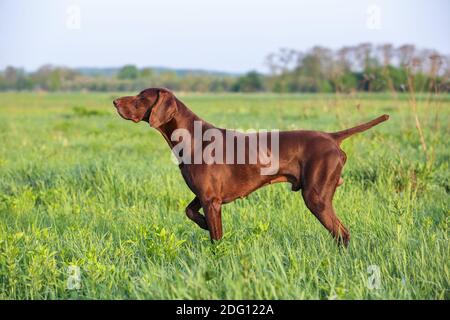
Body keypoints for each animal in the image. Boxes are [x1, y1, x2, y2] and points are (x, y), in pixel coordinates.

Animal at [111, 88, 386, 248]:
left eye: (141, 97)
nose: (114, 101)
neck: (192, 137)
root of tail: (331, 137)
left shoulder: (211, 200)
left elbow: (216, 238)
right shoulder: (204, 196)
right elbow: (189, 212)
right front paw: (202, 223)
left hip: (316, 197)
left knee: (342, 233)